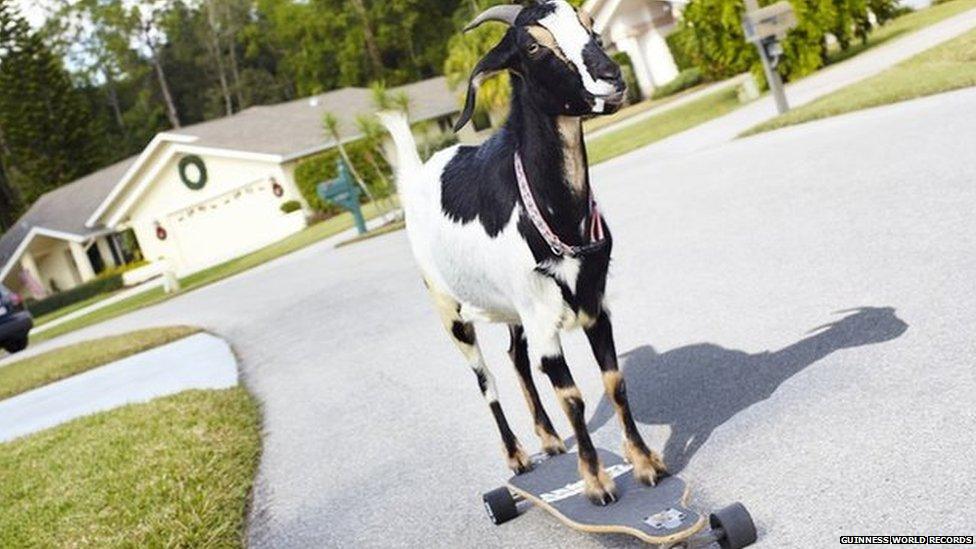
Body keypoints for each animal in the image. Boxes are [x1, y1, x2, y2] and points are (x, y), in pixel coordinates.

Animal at [378, 0, 664, 505]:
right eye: (533, 46)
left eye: (590, 26)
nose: (611, 77)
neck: (553, 212)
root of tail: (417, 175)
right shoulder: (543, 318)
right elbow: (572, 396)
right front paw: (596, 483)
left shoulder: (593, 304)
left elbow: (614, 382)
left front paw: (645, 463)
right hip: (448, 308)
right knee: (484, 378)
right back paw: (516, 456)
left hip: (514, 308)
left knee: (514, 356)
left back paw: (548, 439)